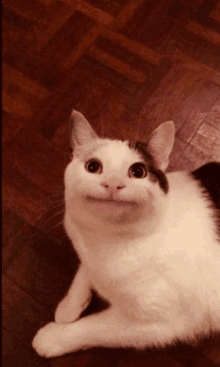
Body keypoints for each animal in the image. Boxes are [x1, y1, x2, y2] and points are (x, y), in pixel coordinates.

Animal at [31, 110, 219, 358]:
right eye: (93, 166)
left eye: (138, 171)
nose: (113, 184)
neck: (110, 239)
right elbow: (84, 270)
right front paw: (69, 306)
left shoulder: (162, 324)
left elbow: (93, 328)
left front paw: (53, 337)